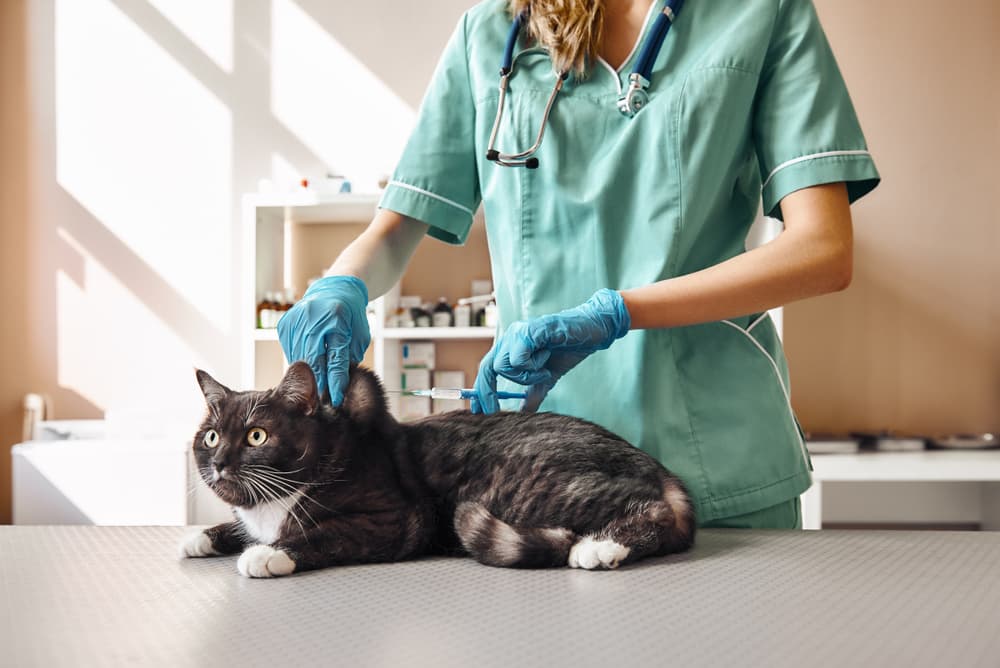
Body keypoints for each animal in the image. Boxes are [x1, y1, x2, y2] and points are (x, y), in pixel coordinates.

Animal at [182, 362, 696, 576]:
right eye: (211, 437)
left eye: (256, 436)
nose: (220, 462)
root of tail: (662, 471)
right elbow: (240, 526)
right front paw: (204, 535)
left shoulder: (393, 520)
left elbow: (323, 533)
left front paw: (268, 554)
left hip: (529, 482)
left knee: (651, 511)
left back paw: (600, 546)